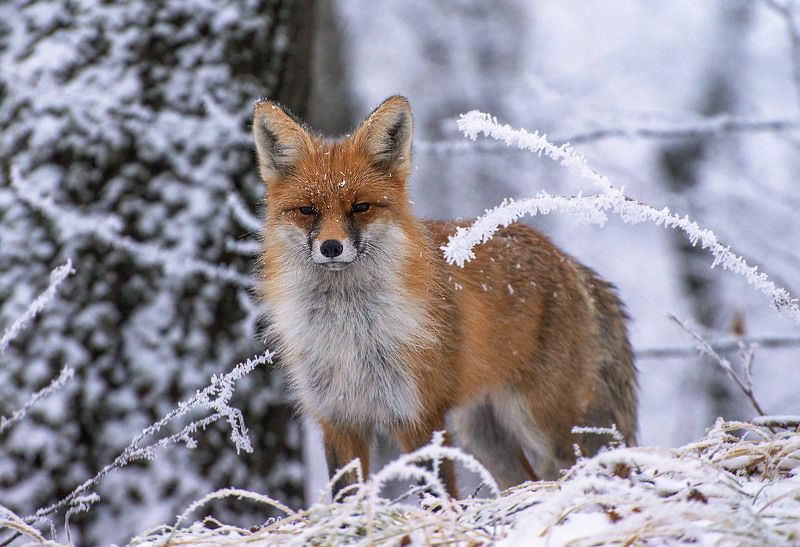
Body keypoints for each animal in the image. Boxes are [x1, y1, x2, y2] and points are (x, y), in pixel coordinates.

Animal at [253, 95, 637, 497]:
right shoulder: (338, 419)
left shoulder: (421, 415)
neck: (348, 334)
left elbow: (436, 494)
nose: (331, 247)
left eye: (360, 207)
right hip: (484, 435)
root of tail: (567, 260)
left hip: (546, 424)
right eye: (307, 210)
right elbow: (346, 497)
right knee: (526, 480)